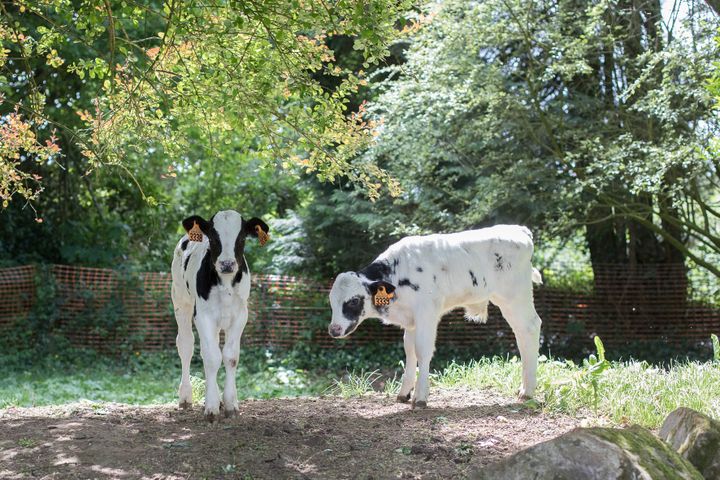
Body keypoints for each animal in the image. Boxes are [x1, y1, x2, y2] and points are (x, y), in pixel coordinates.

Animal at [172, 210, 270, 420]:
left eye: (241, 238)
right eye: (213, 238)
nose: (226, 264)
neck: (225, 284)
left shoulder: (241, 316)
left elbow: (230, 356)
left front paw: (230, 403)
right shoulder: (202, 316)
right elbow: (211, 357)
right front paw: (211, 406)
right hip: (180, 300)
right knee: (186, 345)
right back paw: (185, 396)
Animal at [330, 227, 544, 406]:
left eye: (354, 300)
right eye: (331, 301)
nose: (334, 329)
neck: (398, 275)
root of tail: (518, 230)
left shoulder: (426, 313)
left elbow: (422, 350)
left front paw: (420, 397)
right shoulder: (411, 321)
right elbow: (409, 350)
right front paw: (404, 393)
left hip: (514, 297)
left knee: (529, 328)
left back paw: (527, 391)